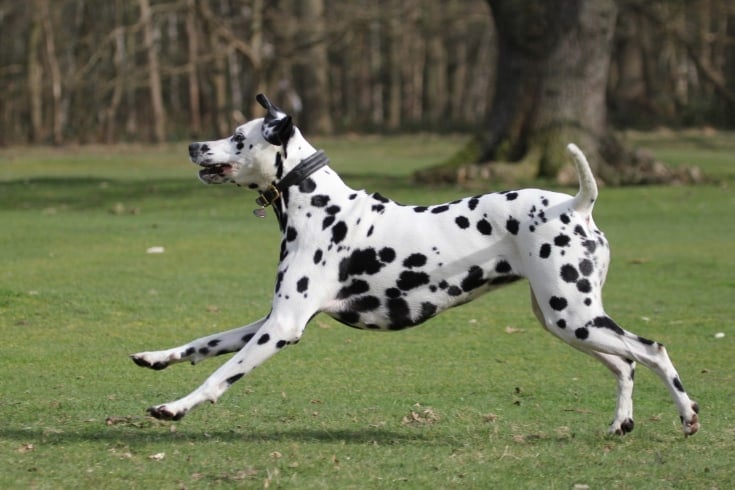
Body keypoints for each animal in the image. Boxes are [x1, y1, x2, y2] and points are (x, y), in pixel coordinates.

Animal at [132, 93, 700, 436]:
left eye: (236, 136)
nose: (193, 145)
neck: (319, 203)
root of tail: (576, 205)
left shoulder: (284, 327)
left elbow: (220, 376)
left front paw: (175, 407)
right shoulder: (271, 319)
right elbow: (206, 343)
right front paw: (158, 357)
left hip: (574, 317)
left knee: (651, 351)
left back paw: (688, 415)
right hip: (565, 321)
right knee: (625, 363)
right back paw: (621, 424)